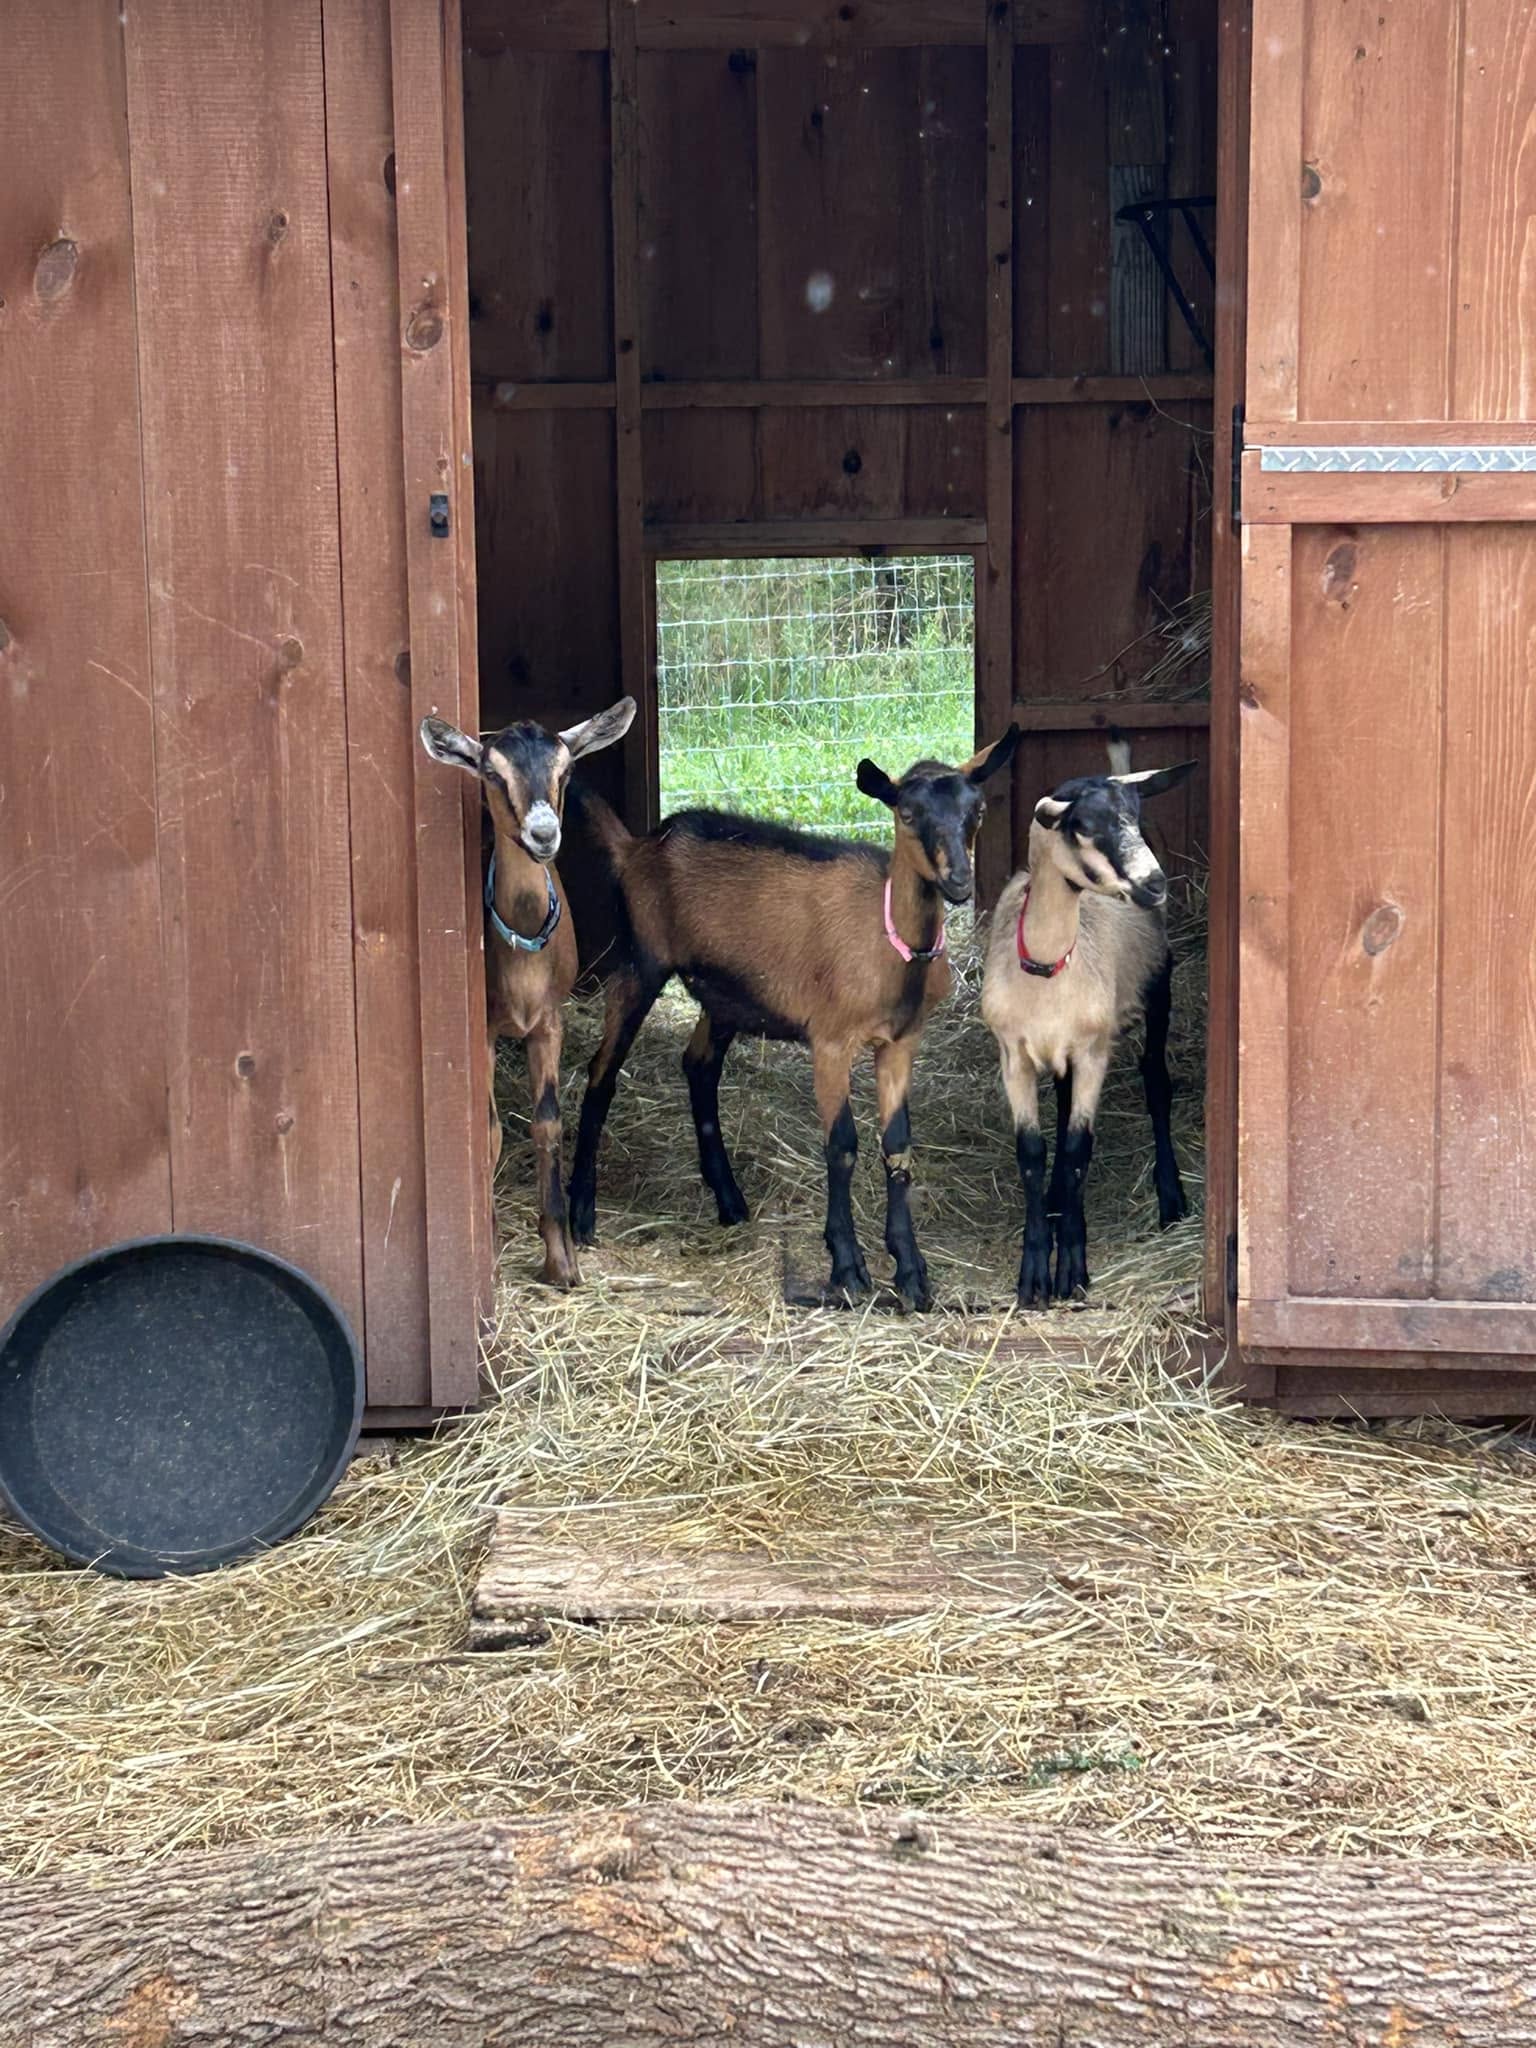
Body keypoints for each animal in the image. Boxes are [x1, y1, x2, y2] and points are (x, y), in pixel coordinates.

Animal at [419, 698, 635, 1287]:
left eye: (566, 770)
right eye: (493, 773)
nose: (543, 834)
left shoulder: (548, 1022)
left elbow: (547, 1123)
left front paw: (562, 1258)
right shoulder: (486, 1031)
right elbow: (489, 1130)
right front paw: (489, 1245)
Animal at [566, 727, 1021, 1311]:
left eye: (977, 809)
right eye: (907, 813)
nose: (959, 881)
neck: (889, 943)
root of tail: (637, 848)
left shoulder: (900, 1042)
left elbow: (897, 1148)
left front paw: (912, 1273)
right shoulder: (830, 1040)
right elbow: (842, 1146)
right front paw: (848, 1267)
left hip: (727, 995)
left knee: (698, 1065)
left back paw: (730, 1200)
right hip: (639, 961)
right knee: (601, 1074)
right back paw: (581, 1215)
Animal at [979, 753, 1196, 1305]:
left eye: (1134, 818)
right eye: (1084, 826)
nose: (1154, 883)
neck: (1047, 967)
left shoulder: (1094, 1052)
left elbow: (1080, 1149)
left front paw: (1071, 1270)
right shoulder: (1014, 1057)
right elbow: (1032, 1154)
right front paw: (1034, 1273)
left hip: (1159, 987)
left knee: (1156, 1083)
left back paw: (1171, 1198)